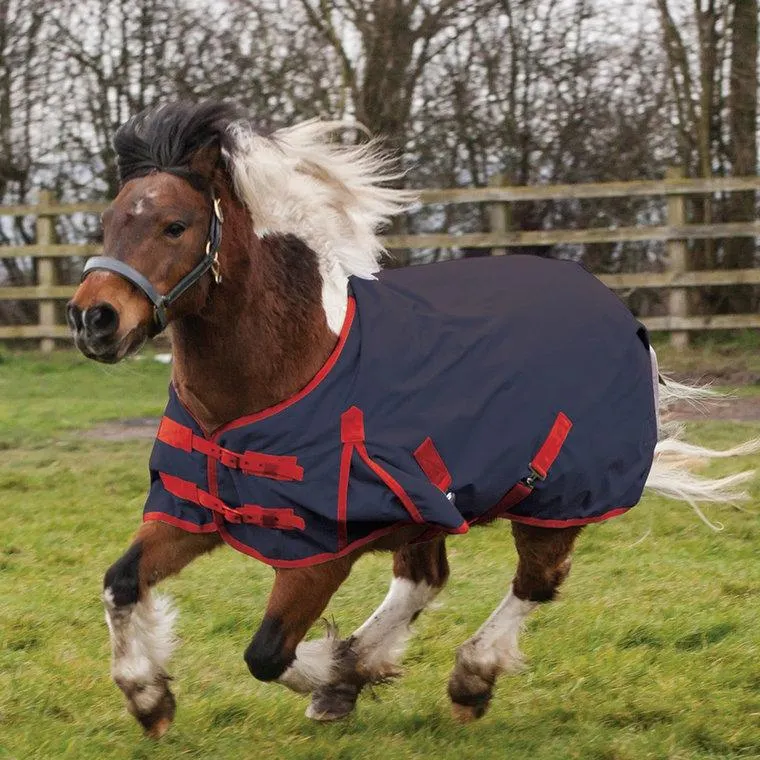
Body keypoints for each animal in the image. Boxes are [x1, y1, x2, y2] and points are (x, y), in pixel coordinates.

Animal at [67, 101, 757, 738]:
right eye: (108, 221)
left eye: (175, 225)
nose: (93, 319)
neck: (273, 382)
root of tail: (619, 313)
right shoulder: (196, 511)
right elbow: (120, 581)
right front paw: (149, 696)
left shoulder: (319, 553)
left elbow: (267, 654)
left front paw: (338, 673)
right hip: (428, 504)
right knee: (425, 580)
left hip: (551, 501)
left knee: (536, 582)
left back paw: (469, 678)